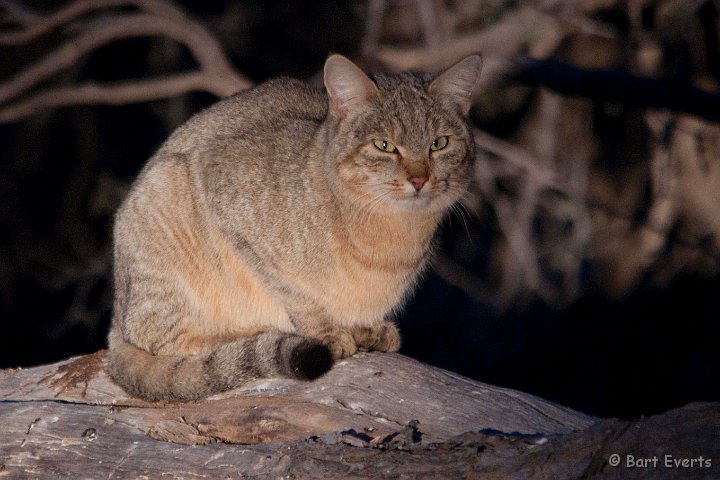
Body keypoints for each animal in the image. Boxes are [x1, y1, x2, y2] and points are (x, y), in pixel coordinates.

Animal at [107, 53, 480, 402]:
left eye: (439, 143)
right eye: (384, 146)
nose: (419, 180)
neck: (390, 240)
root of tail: (116, 310)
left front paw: (367, 329)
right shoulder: (224, 194)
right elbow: (294, 294)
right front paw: (326, 332)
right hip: (164, 201)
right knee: (163, 341)